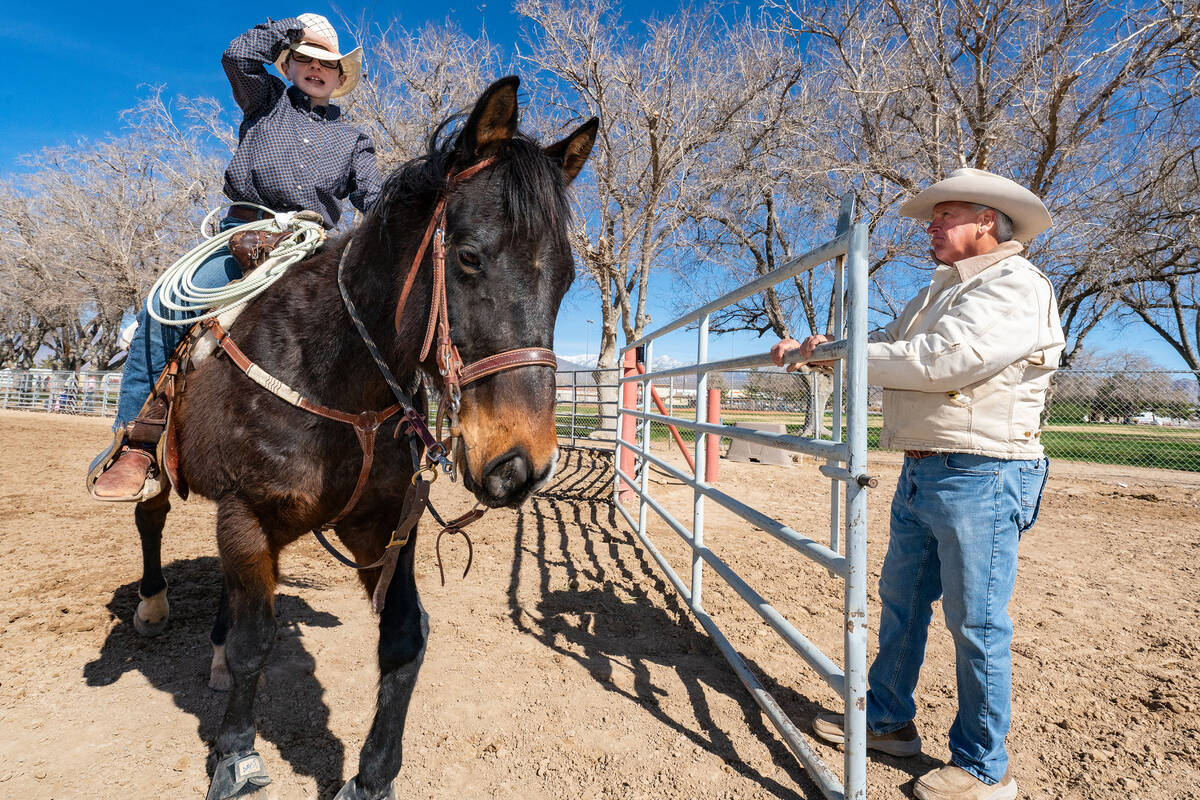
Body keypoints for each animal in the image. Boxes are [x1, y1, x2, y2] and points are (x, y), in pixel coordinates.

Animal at [124, 76, 600, 800]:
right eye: (469, 256)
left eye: (567, 276)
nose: (521, 465)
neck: (333, 376)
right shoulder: (247, 516)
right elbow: (256, 643)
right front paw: (235, 757)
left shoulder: (380, 525)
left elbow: (404, 637)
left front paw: (372, 776)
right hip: (154, 461)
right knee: (150, 518)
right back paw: (153, 607)